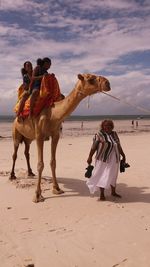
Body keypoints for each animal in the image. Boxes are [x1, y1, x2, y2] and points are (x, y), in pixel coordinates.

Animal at [9, 73, 110, 203]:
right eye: (90, 79)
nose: (107, 83)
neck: (53, 115)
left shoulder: (55, 135)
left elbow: (53, 162)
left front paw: (57, 188)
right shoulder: (39, 135)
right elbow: (40, 164)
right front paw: (37, 195)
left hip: (28, 138)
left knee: (26, 152)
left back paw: (30, 173)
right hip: (16, 133)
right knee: (15, 153)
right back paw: (12, 175)